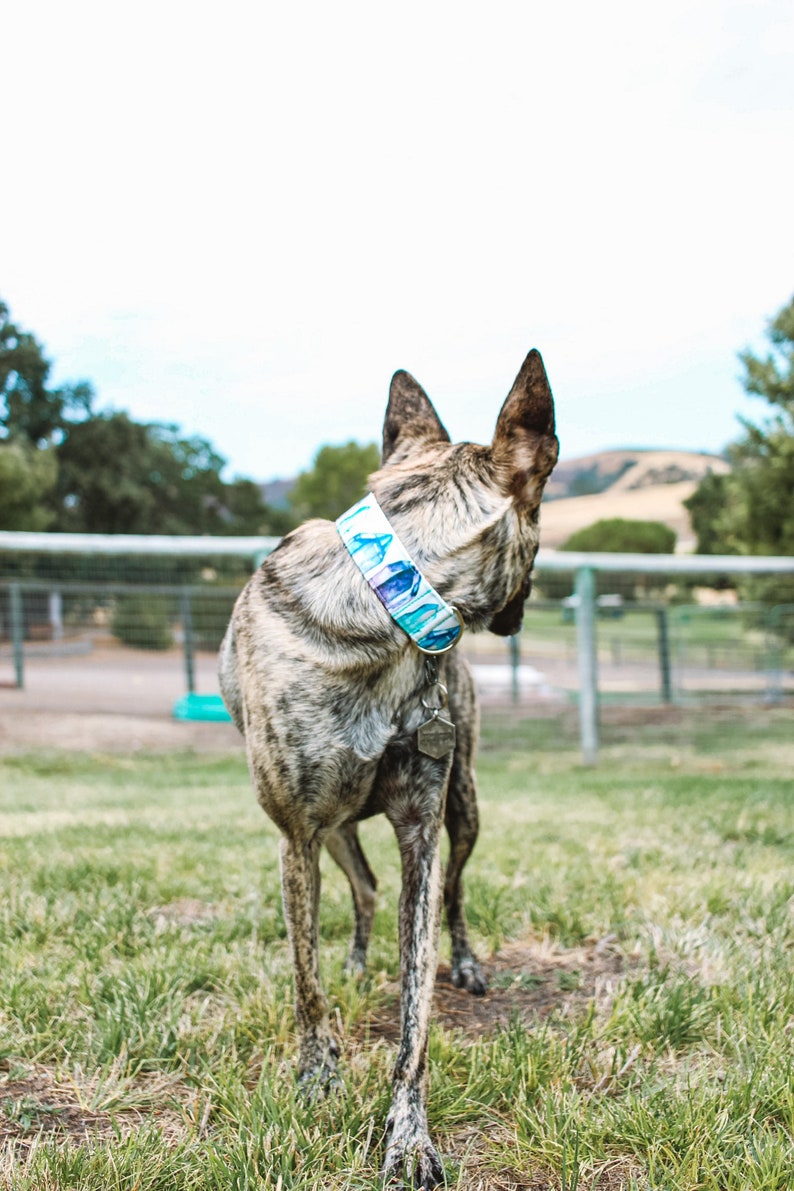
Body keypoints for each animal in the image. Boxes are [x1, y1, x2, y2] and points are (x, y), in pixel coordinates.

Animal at [217, 347, 559, 1186]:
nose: (523, 613)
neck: (387, 600)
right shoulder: (296, 835)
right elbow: (304, 980)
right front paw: (318, 1069)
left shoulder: (420, 829)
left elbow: (416, 1013)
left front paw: (408, 1134)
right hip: (333, 830)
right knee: (362, 889)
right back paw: (353, 958)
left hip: (464, 805)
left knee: (455, 891)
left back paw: (464, 962)